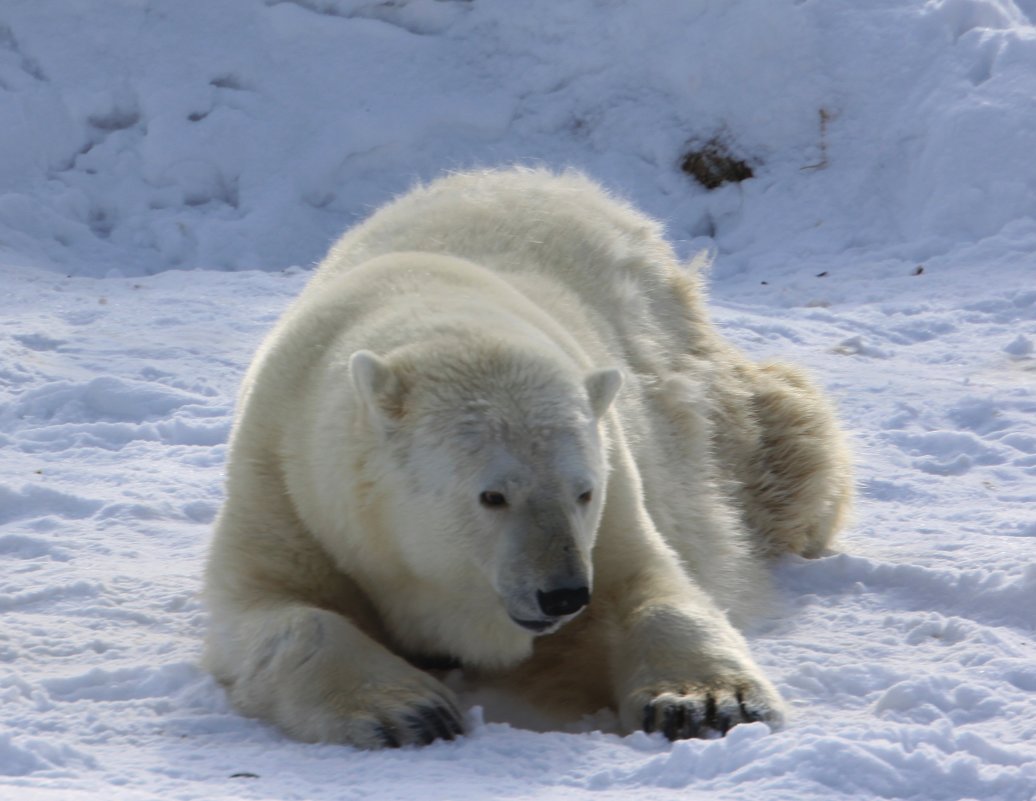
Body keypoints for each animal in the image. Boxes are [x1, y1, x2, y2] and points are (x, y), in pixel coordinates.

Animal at [199, 165, 849, 746]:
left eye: (583, 491)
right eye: (492, 495)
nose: (561, 593)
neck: (433, 312)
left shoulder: (615, 497)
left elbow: (648, 586)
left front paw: (707, 702)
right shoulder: (287, 480)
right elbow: (274, 606)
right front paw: (412, 711)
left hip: (699, 397)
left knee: (782, 444)